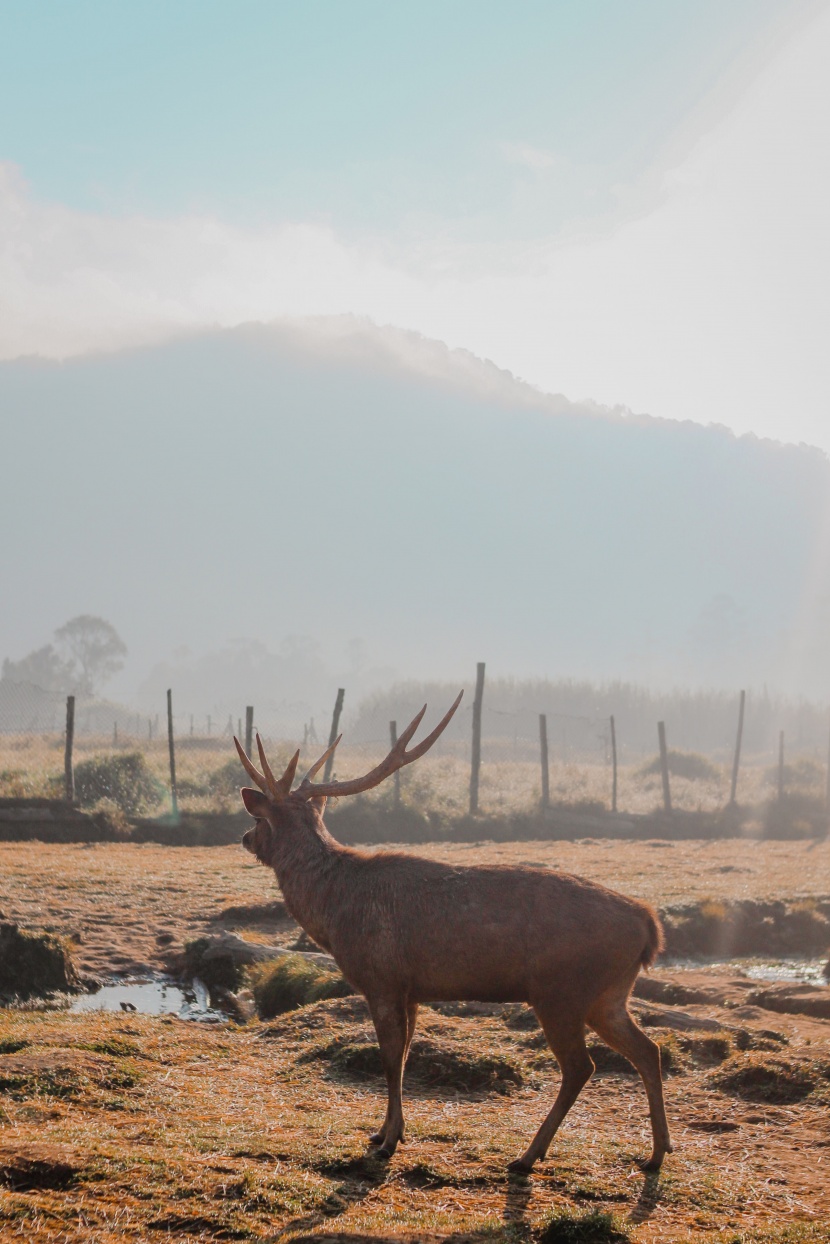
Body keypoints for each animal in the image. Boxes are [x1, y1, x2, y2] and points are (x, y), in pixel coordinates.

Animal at [233, 696, 676, 1169]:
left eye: (261, 819)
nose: (245, 837)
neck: (332, 914)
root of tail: (649, 925)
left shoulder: (381, 978)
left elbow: (390, 1059)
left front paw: (389, 1142)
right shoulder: (411, 989)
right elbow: (406, 1056)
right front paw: (384, 1132)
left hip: (561, 990)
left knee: (581, 1066)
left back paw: (528, 1155)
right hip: (608, 994)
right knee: (648, 1049)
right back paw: (658, 1150)